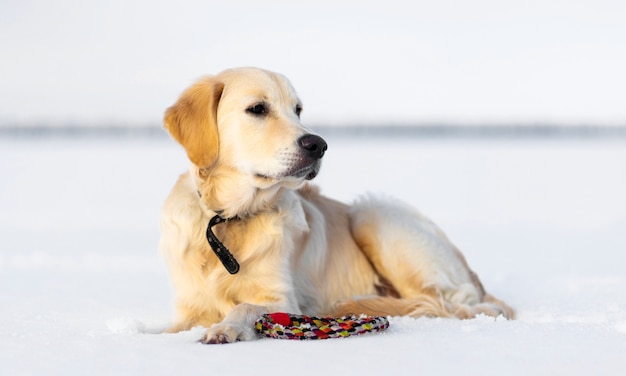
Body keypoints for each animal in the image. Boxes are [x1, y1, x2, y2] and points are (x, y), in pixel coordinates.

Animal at [158, 67, 510, 344]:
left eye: (297, 110)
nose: (318, 144)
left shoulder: (283, 298)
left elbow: (244, 305)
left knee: (438, 301)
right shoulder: (189, 307)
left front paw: (225, 328)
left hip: (371, 215)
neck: (229, 218)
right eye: (257, 108)